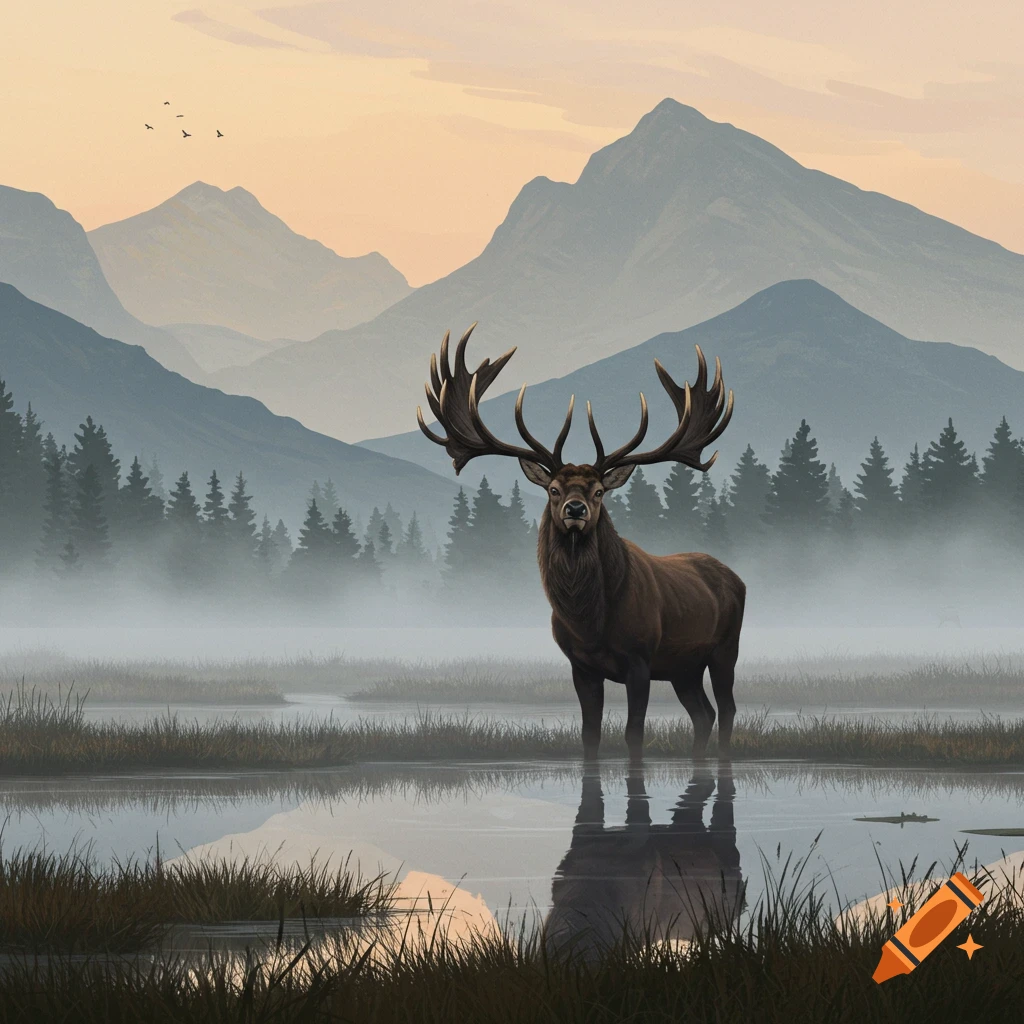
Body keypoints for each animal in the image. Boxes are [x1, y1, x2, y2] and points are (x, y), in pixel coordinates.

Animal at [417, 324, 746, 761]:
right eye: (554, 489)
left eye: (599, 491)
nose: (576, 509)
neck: (590, 623)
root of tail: (737, 578)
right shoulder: (580, 665)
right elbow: (589, 734)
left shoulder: (640, 658)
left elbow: (633, 735)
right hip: (683, 667)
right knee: (703, 713)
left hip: (725, 648)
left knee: (726, 708)